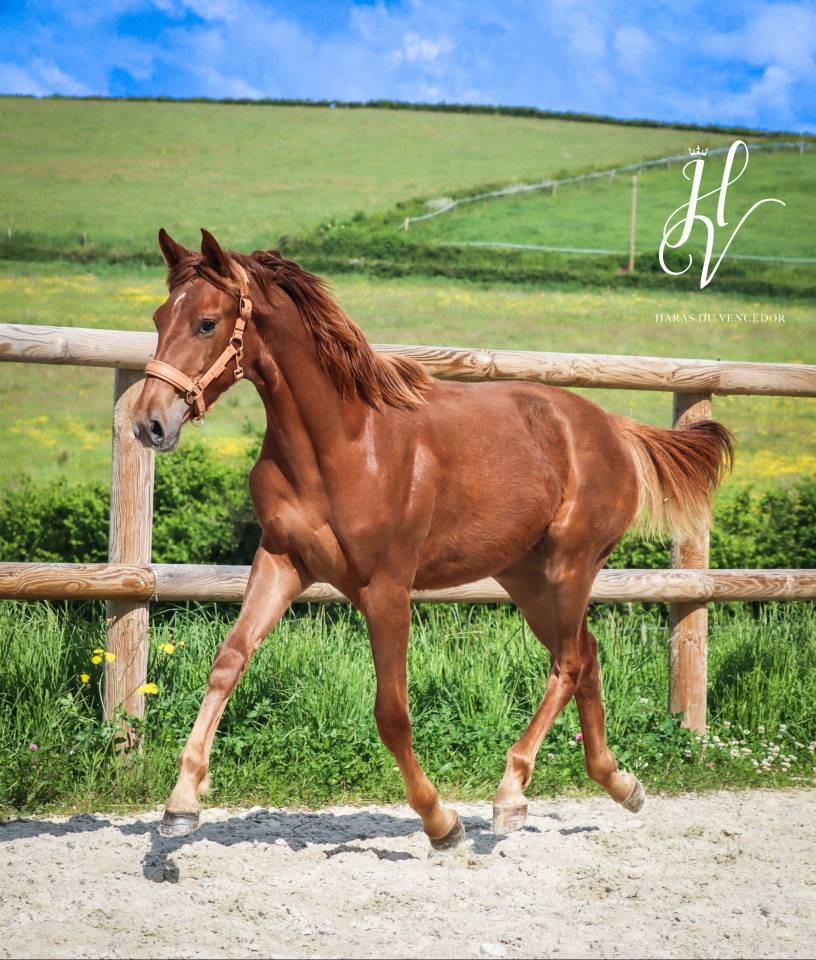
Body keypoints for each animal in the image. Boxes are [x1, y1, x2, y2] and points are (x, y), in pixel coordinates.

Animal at [132, 228, 733, 849]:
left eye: (206, 322)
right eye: (159, 317)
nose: (148, 423)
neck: (341, 444)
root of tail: (613, 427)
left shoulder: (386, 588)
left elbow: (392, 713)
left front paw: (441, 821)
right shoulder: (282, 562)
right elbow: (228, 662)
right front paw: (182, 802)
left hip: (570, 567)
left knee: (568, 662)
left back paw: (510, 794)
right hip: (526, 578)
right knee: (584, 655)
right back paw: (617, 782)